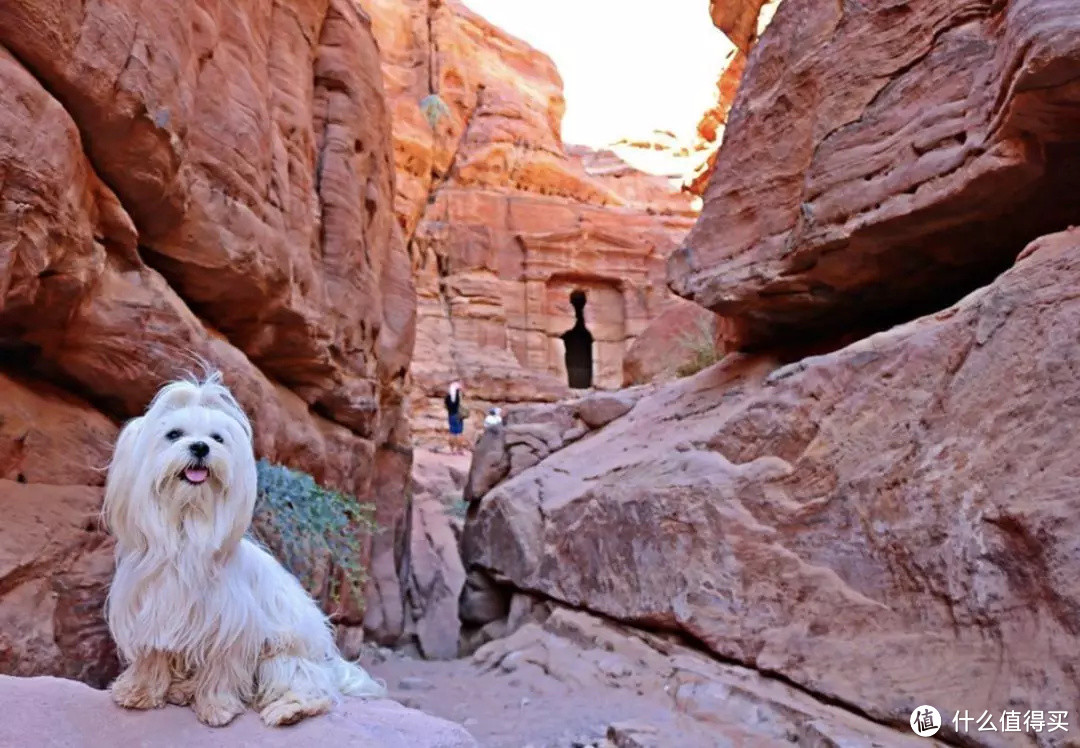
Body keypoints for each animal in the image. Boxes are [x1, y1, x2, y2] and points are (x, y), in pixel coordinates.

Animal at [101, 375, 386, 725]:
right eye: (174, 434)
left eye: (217, 438)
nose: (200, 447)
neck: (187, 526)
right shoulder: (150, 612)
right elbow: (151, 656)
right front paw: (138, 691)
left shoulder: (233, 624)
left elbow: (222, 668)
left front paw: (217, 706)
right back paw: (183, 689)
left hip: (283, 656)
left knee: (309, 685)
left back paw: (289, 709)